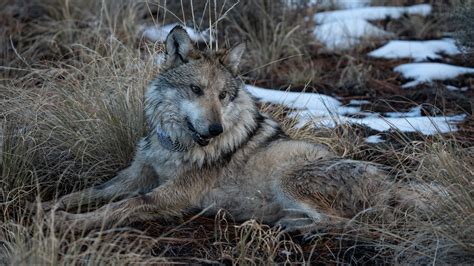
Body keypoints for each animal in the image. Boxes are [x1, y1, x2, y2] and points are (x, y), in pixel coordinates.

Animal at [36, 26, 430, 232]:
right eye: (196, 90)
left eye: (223, 96)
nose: (214, 130)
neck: (175, 145)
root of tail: (391, 184)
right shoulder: (136, 174)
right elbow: (90, 191)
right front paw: (49, 206)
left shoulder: (171, 195)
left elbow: (124, 205)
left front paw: (68, 223)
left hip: (290, 177)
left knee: (354, 222)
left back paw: (296, 226)